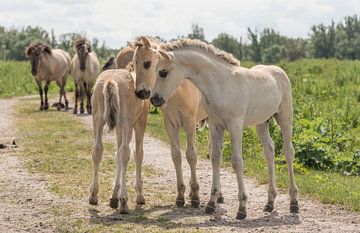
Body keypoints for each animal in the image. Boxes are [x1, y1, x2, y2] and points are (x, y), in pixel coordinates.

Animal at [89, 67, 150, 213]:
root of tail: (111, 80)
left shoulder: (118, 128)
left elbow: (116, 154)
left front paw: (113, 196)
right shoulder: (139, 123)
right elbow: (138, 154)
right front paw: (139, 195)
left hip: (97, 120)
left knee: (97, 149)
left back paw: (93, 196)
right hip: (127, 123)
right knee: (125, 152)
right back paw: (124, 201)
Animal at [130, 36, 212, 208]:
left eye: (147, 63)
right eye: (134, 63)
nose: (140, 93)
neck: (177, 89)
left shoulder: (189, 123)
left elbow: (191, 155)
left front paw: (195, 196)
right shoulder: (170, 124)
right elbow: (176, 156)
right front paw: (181, 195)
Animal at [150, 38, 300, 220]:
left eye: (163, 72)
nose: (154, 99)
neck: (220, 84)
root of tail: (279, 70)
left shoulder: (235, 125)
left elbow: (237, 161)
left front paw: (242, 208)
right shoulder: (216, 125)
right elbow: (215, 157)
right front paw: (211, 203)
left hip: (285, 118)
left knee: (288, 152)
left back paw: (294, 202)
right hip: (262, 123)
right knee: (269, 151)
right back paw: (270, 203)